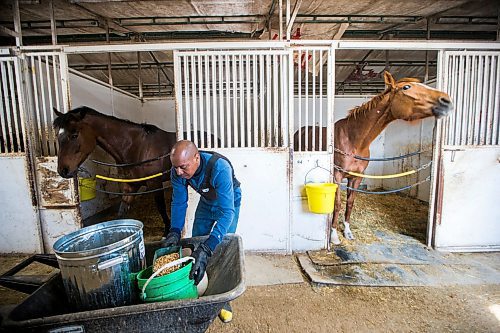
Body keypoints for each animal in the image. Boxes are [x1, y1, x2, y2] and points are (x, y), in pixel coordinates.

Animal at [53, 105, 176, 233]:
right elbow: (121, 213)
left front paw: (167, 230)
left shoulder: (155, 182)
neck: (139, 148)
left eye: (74, 135)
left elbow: (161, 207)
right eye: (58, 136)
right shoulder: (131, 185)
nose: (63, 170)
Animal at [292, 71, 454, 244]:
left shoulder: (357, 177)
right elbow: (337, 203)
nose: (446, 101)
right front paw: (334, 235)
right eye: (406, 87)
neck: (354, 140)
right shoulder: (336, 175)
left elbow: (350, 203)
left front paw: (348, 232)